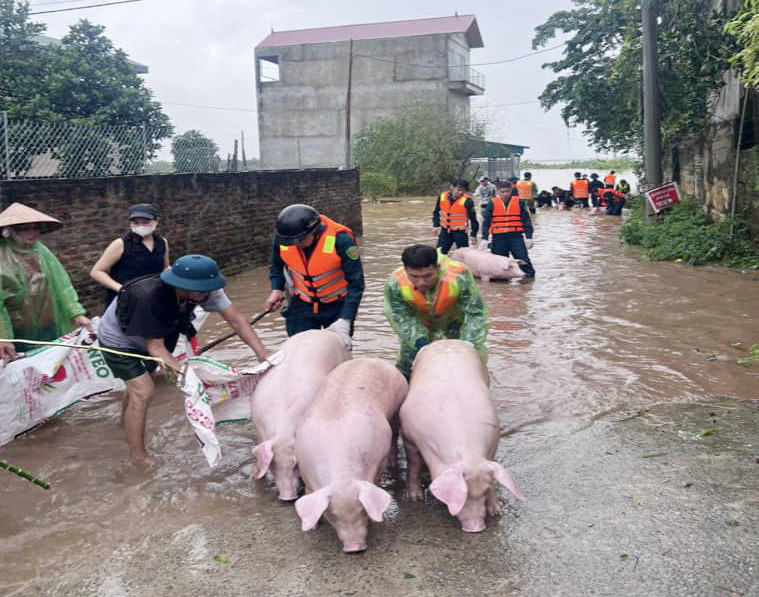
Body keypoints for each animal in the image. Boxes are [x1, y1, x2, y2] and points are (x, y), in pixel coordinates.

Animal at [252, 328, 354, 500]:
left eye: (296, 465)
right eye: (273, 464)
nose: (286, 497)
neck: (283, 432)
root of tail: (327, 331)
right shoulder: (259, 431)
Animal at [294, 356, 410, 552]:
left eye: (362, 510)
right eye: (332, 515)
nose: (354, 548)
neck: (342, 474)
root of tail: (370, 359)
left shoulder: (377, 462)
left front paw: (376, 519)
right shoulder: (306, 471)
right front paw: (314, 527)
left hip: (398, 405)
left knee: (395, 434)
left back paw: (393, 463)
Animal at [400, 340, 524, 532]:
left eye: (483, 492)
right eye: (463, 496)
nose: (476, 527)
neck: (467, 450)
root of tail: (446, 341)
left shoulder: (493, 444)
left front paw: (496, 512)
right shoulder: (409, 436)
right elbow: (413, 465)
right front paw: (415, 499)